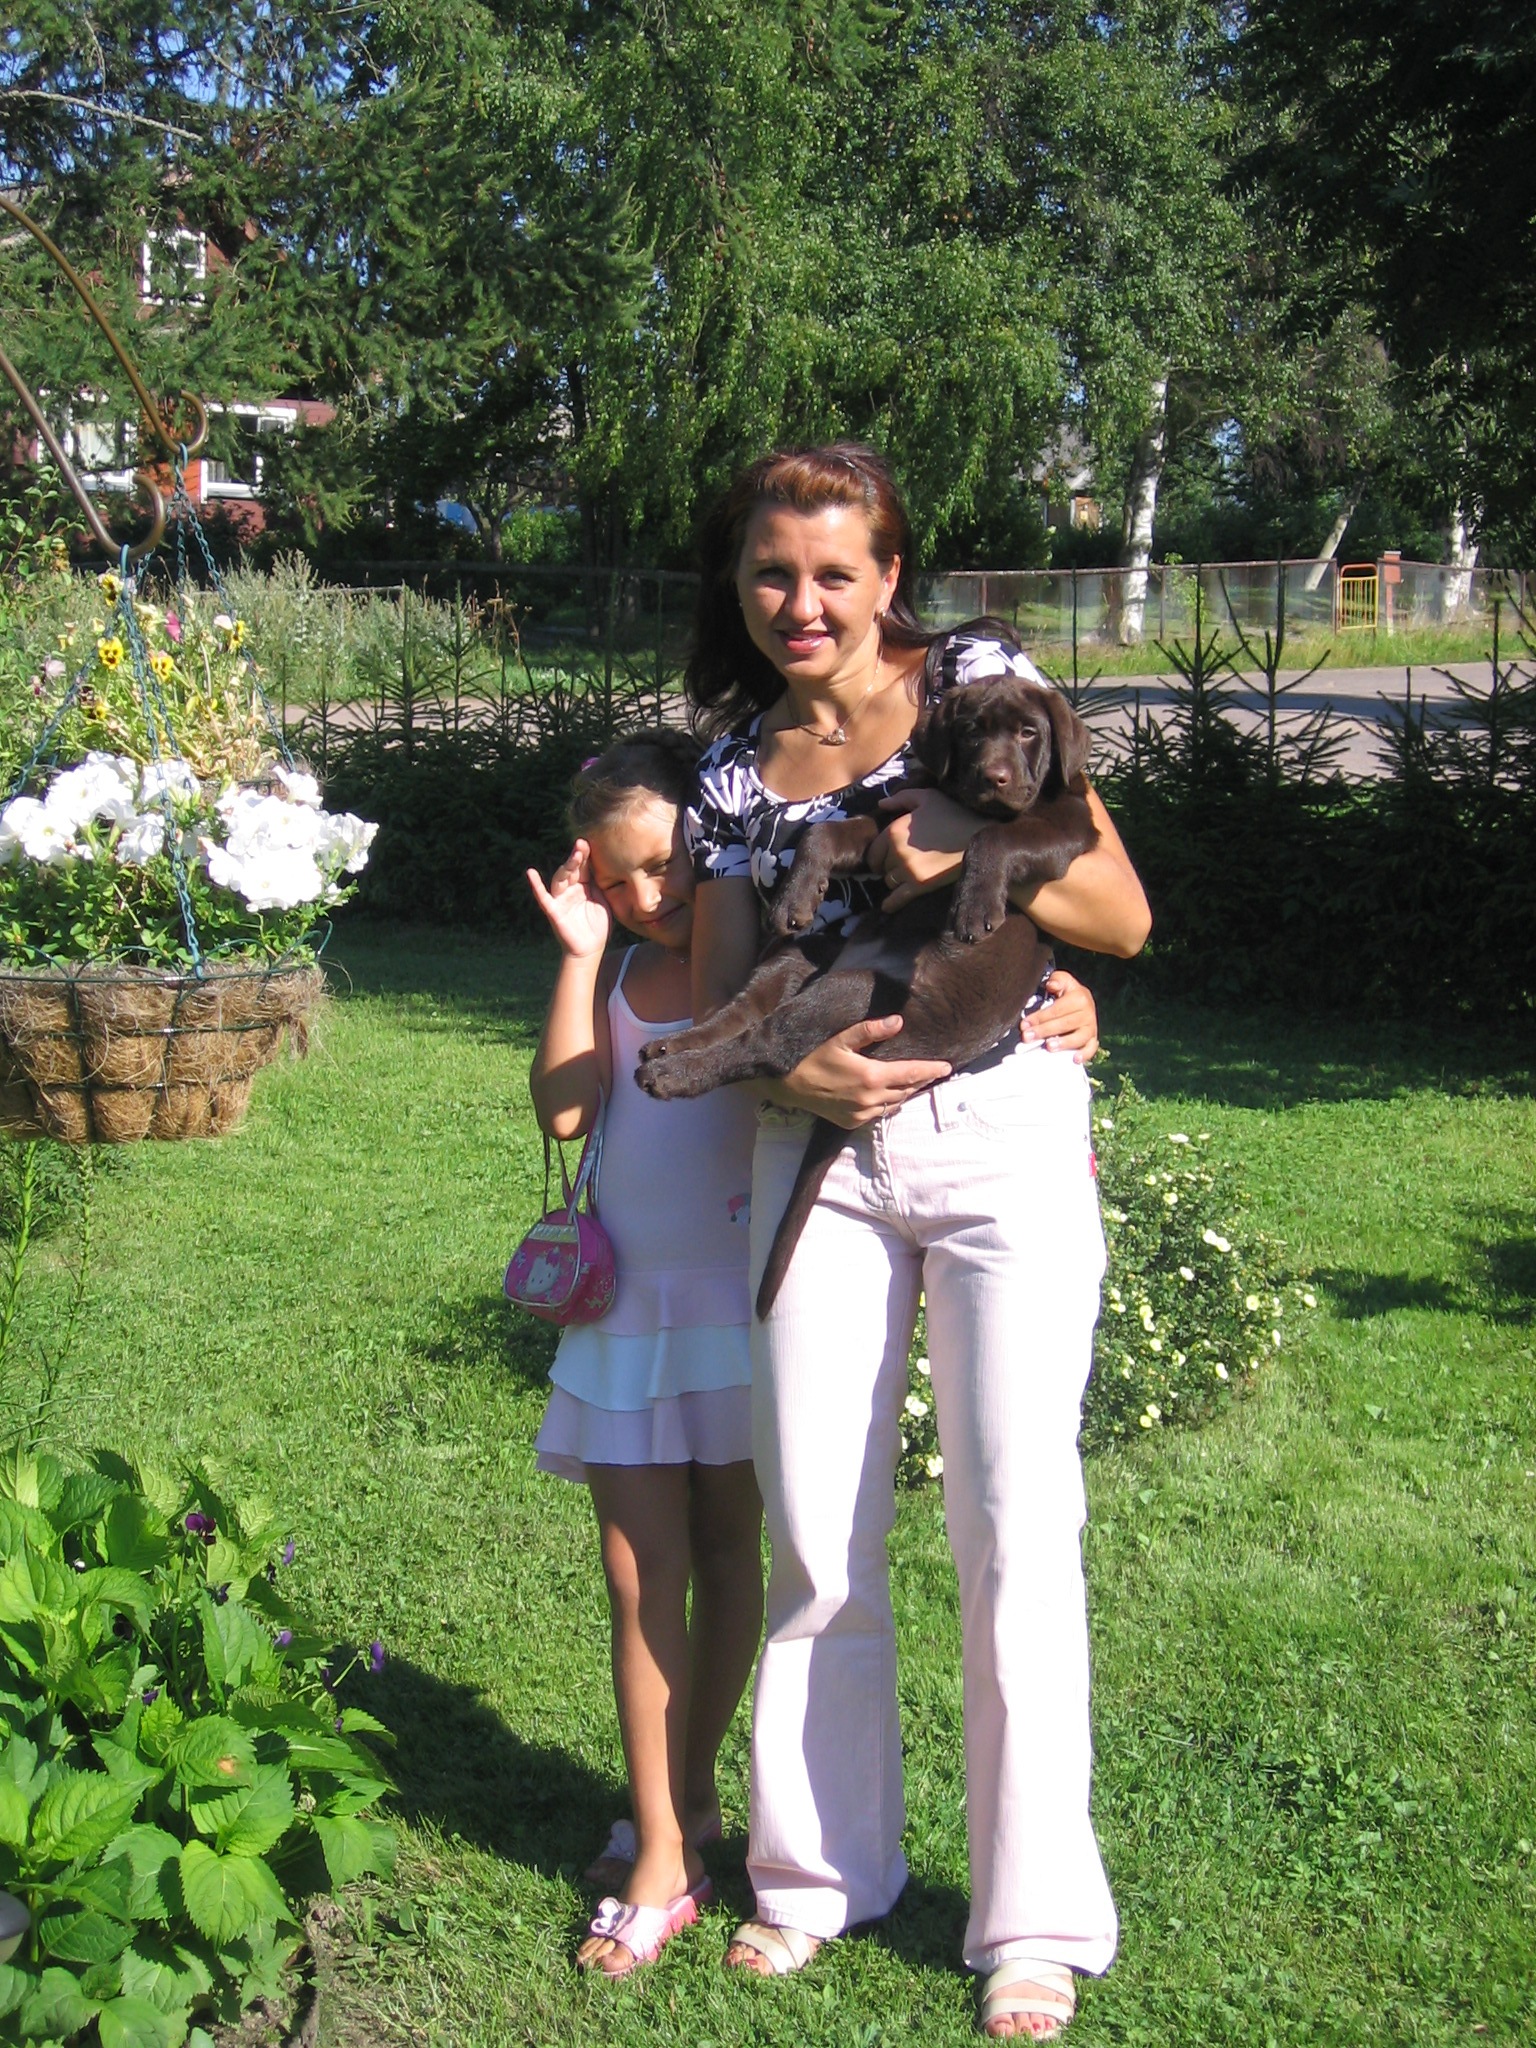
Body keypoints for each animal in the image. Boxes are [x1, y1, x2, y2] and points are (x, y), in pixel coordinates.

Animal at [637, 675, 1097, 1315]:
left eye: (1030, 732)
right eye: (971, 731)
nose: (995, 777)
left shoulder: (1068, 828)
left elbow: (994, 835)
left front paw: (975, 903)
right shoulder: (891, 816)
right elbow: (826, 831)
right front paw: (795, 894)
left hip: (857, 992)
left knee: (768, 1043)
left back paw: (674, 1074)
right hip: (812, 956)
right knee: (745, 1014)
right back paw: (675, 1048)